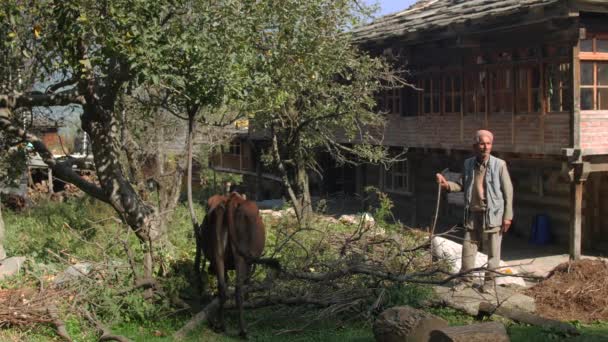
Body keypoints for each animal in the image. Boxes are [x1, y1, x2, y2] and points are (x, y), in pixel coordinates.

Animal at [197, 192, 266, 336]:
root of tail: (231, 199)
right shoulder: (249, 263)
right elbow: (246, 282)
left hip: (218, 255)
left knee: (222, 288)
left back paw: (220, 325)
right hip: (240, 256)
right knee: (238, 289)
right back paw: (243, 330)